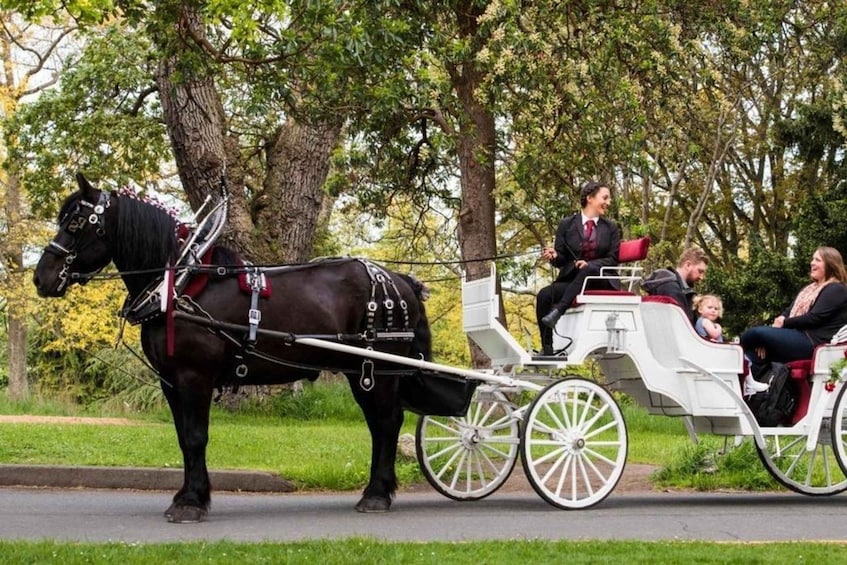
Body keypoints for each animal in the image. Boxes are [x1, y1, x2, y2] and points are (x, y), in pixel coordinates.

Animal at [31, 174, 438, 524]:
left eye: (75, 223)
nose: (41, 277)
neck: (182, 283)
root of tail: (400, 279)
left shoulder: (195, 376)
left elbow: (196, 437)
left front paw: (192, 503)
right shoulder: (170, 381)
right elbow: (184, 439)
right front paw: (186, 495)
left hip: (378, 369)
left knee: (387, 423)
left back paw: (377, 495)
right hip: (361, 372)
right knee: (379, 425)